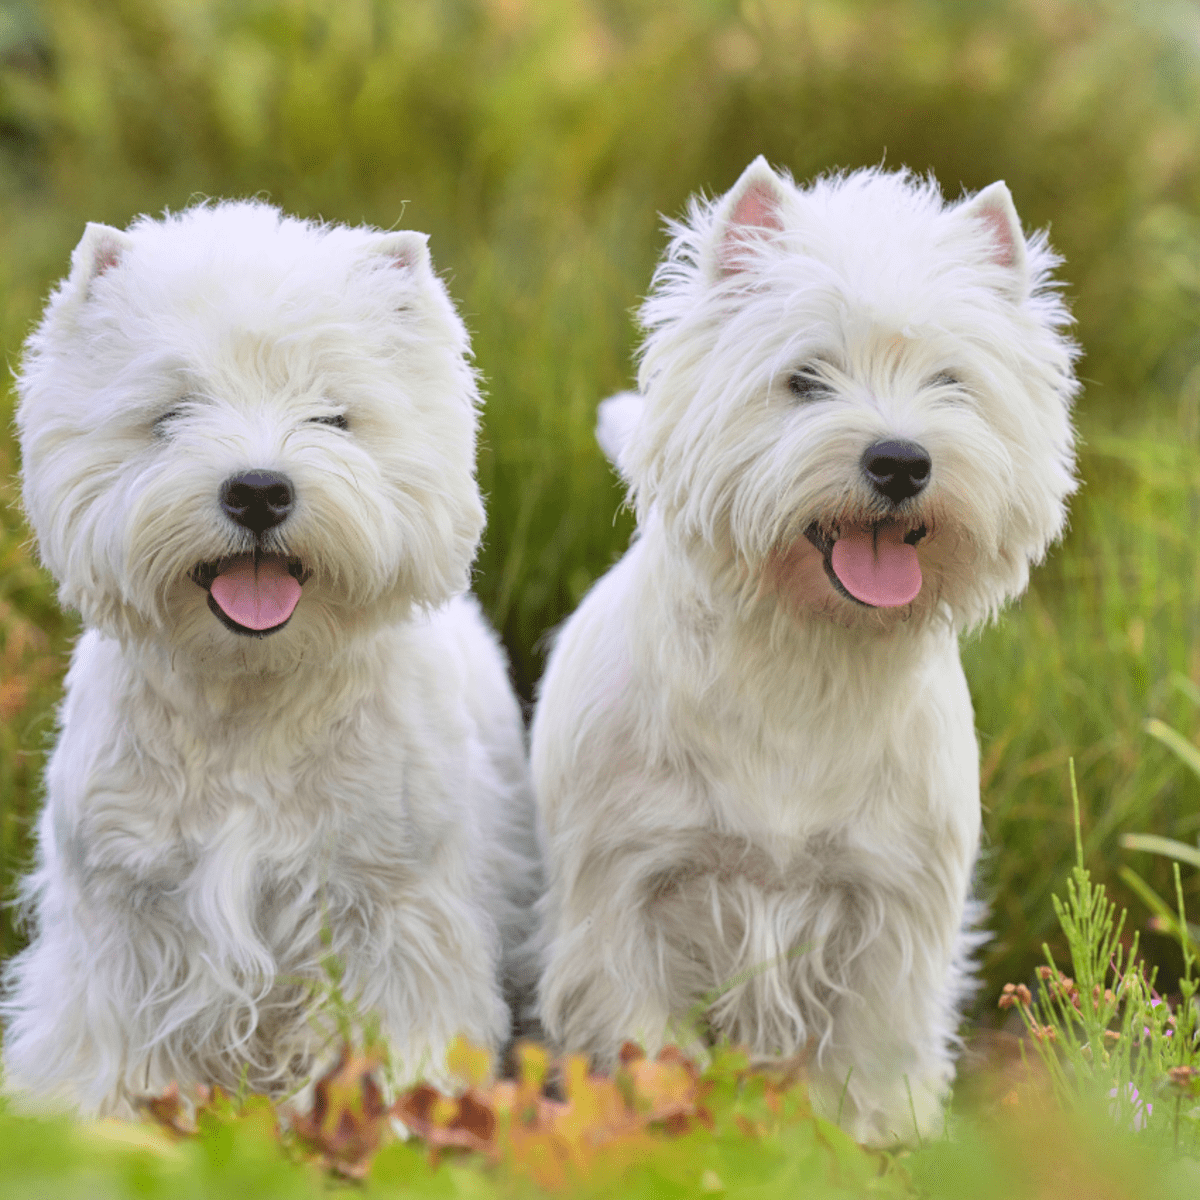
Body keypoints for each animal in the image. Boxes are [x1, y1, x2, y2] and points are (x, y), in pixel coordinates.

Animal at [3, 204, 540, 1113]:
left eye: (334, 416)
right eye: (172, 413)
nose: (258, 491)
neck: (248, 695)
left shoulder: (390, 905)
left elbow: (395, 1032)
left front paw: (399, 1115)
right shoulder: (123, 914)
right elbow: (105, 1048)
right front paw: (102, 1119)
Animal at [532, 159, 1080, 1142]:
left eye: (951, 382)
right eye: (805, 379)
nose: (900, 462)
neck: (808, 658)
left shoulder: (891, 906)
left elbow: (870, 1064)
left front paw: (871, 1146)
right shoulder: (626, 893)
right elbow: (646, 1042)